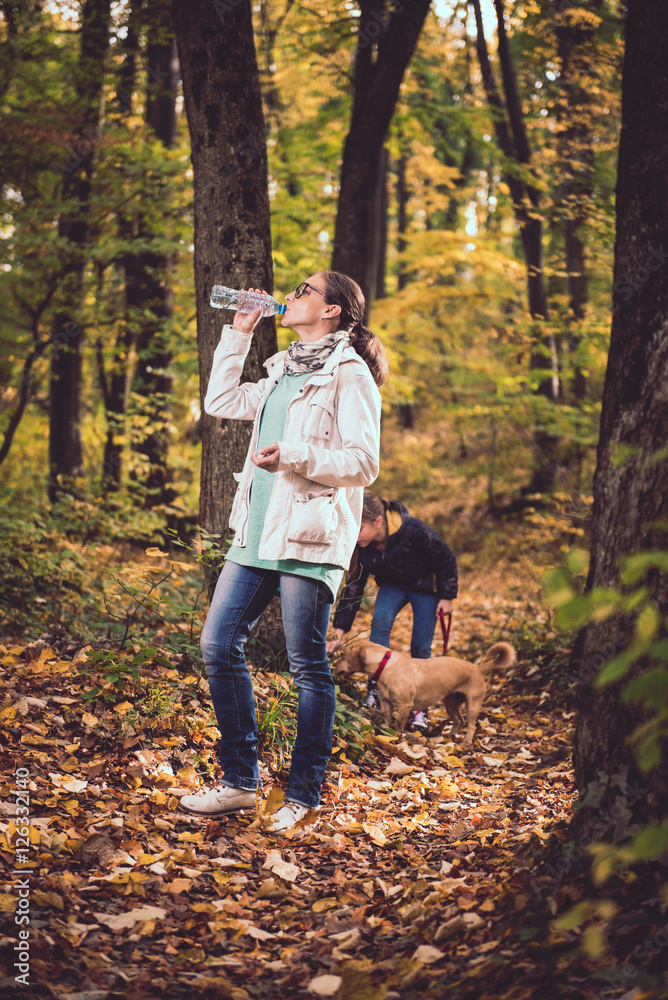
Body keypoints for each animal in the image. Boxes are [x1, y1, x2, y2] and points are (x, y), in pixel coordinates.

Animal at [334, 640, 516, 744]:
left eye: (342, 655)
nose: (333, 666)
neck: (386, 664)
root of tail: (478, 668)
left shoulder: (404, 705)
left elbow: (398, 725)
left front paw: (397, 736)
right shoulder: (386, 702)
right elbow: (388, 721)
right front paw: (387, 734)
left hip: (473, 705)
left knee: (471, 724)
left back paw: (466, 743)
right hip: (450, 704)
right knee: (459, 720)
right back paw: (450, 736)